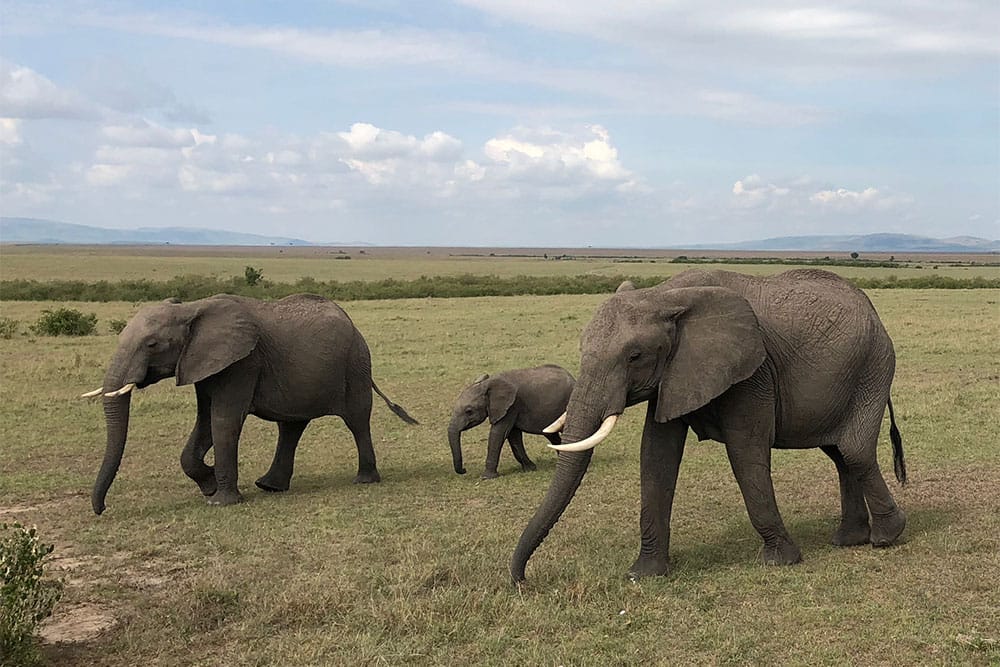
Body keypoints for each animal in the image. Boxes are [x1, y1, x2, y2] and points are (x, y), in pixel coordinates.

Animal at [81, 293, 417, 514]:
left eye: (152, 344)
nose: (102, 510)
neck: (192, 308)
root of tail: (352, 323)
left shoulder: (243, 363)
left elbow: (224, 420)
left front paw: (220, 500)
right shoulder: (204, 364)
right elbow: (205, 421)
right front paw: (209, 484)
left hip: (356, 363)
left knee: (357, 420)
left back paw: (364, 480)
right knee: (291, 426)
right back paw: (269, 486)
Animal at [447, 365, 575, 479]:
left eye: (469, 411)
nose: (464, 470)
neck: (489, 383)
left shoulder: (512, 406)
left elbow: (498, 433)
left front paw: (486, 477)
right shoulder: (511, 409)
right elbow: (513, 436)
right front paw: (530, 468)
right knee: (551, 435)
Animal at [510, 269, 907, 582]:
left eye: (635, 356)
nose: (523, 581)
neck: (663, 295)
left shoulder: (752, 371)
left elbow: (745, 452)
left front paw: (781, 561)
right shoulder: (674, 374)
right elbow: (656, 456)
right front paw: (643, 574)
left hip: (874, 367)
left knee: (854, 452)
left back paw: (887, 538)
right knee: (840, 454)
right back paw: (849, 540)